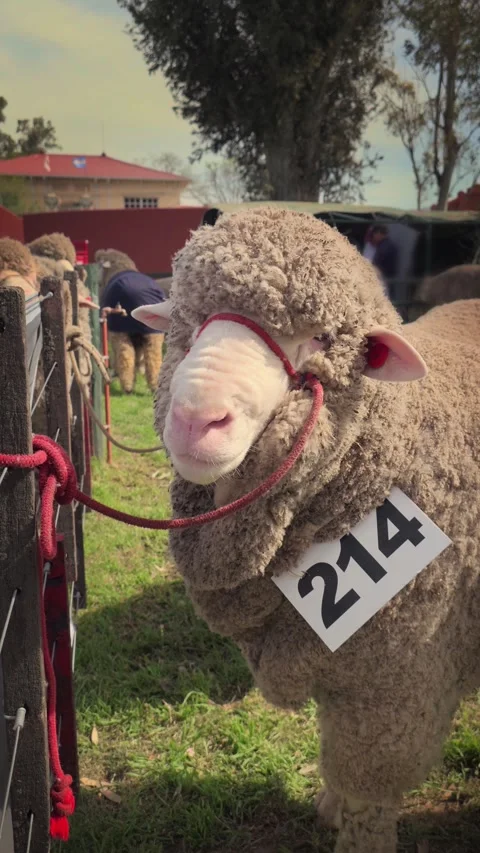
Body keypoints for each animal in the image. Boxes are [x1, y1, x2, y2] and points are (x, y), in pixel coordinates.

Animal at [95, 249, 166, 393]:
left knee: (125, 355)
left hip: (121, 330)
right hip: (153, 331)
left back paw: (127, 387)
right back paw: (154, 385)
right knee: (154, 357)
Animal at [132, 207, 480, 853]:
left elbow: (369, 796)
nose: (194, 420)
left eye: (320, 337)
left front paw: (353, 824)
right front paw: (330, 807)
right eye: (190, 321)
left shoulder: (394, 693)